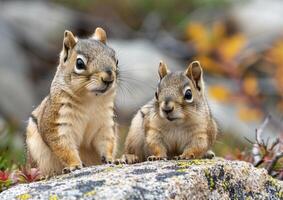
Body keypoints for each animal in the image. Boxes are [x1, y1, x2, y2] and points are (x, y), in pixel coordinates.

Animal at [25, 27, 118, 175]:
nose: (109, 78)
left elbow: (107, 141)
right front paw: (74, 165)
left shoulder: (105, 123)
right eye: (79, 63)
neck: (90, 100)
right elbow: (64, 148)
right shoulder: (59, 124)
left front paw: (111, 159)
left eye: (116, 59)